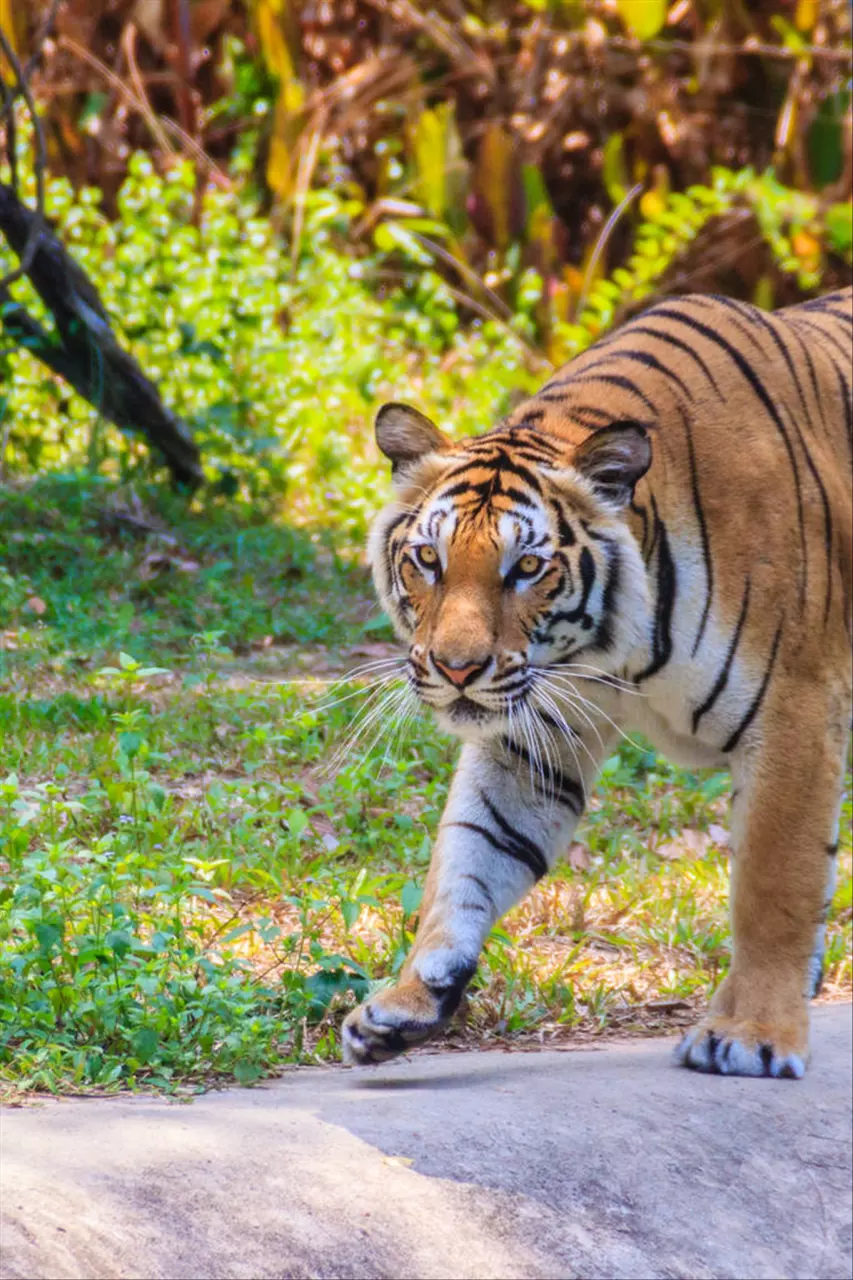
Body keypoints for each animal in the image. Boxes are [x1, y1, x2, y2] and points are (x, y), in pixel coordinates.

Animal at [340, 288, 850, 1080]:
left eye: (525, 567)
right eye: (427, 559)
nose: (456, 668)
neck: (616, 647)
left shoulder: (795, 713)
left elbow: (774, 882)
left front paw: (752, 1034)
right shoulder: (537, 731)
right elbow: (469, 853)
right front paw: (405, 1002)